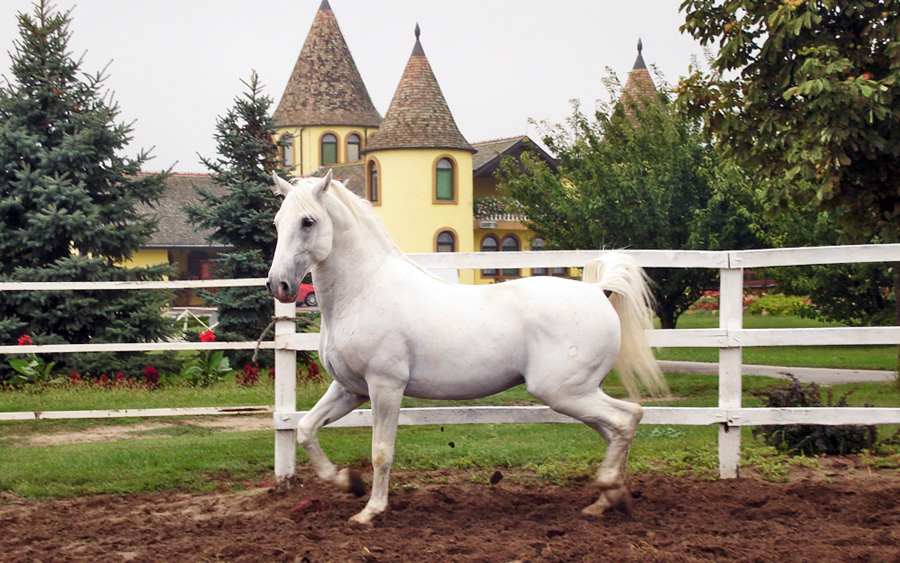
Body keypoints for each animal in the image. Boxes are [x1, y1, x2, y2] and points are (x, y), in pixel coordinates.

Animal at [264, 171, 664, 524]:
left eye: (308, 221)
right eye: (277, 222)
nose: (279, 285)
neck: (364, 291)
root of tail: (597, 291)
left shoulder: (385, 387)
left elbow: (381, 453)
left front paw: (370, 511)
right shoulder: (351, 389)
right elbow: (306, 429)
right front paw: (348, 482)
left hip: (563, 392)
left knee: (627, 418)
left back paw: (609, 492)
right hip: (580, 393)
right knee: (617, 428)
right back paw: (606, 500)